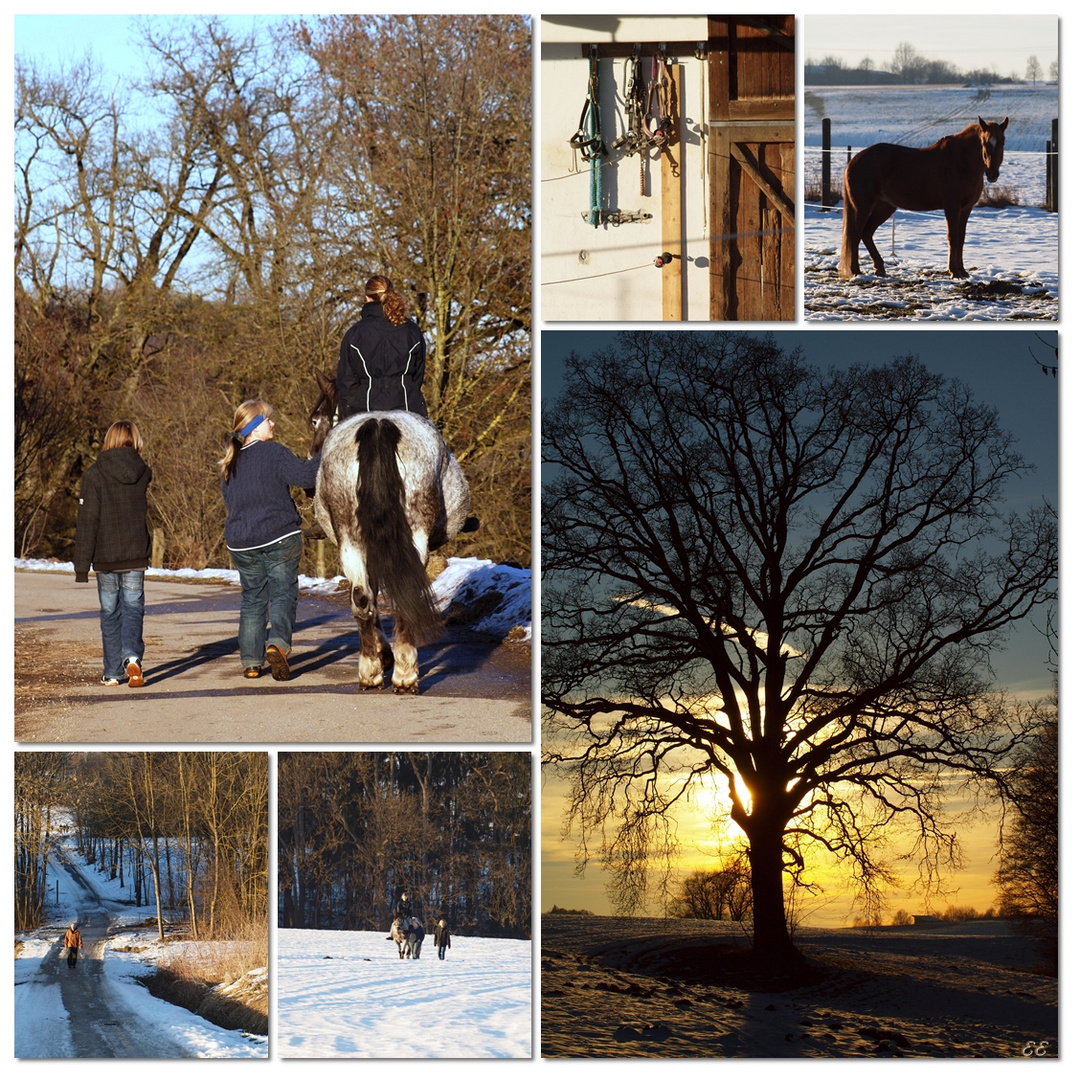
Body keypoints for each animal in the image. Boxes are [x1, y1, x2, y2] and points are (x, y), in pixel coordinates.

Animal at [308, 371, 468, 691]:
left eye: (315, 420)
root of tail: (378, 425)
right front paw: (385, 655)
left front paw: (383, 655)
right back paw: (401, 674)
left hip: (354, 541)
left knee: (363, 599)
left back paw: (378, 672)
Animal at [838, 116, 1006, 280]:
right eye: (985, 142)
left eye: (1002, 142)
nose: (992, 174)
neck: (961, 162)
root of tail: (854, 161)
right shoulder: (952, 208)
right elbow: (953, 238)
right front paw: (954, 272)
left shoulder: (966, 209)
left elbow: (961, 239)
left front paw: (963, 272)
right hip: (863, 206)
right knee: (855, 235)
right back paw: (855, 271)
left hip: (884, 207)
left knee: (866, 233)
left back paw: (879, 268)